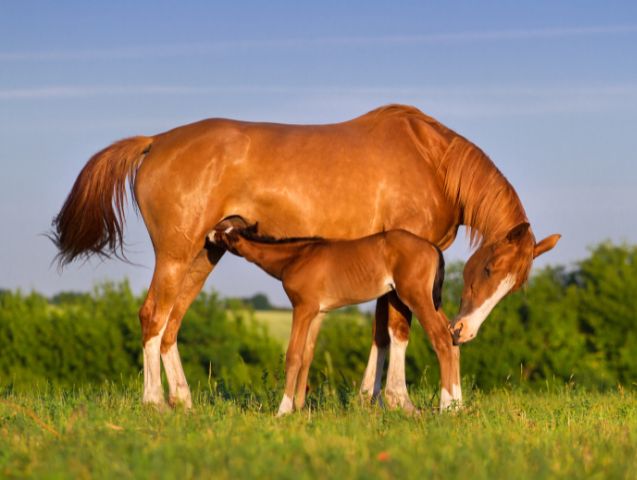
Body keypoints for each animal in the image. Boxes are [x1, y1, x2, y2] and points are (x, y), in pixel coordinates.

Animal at [209, 221, 442, 416]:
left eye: (224, 235)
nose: (208, 234)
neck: (296, 257)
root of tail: (432, 248)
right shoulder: (318, 313)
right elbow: (307, 356)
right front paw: (299, 406)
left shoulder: (302, 309)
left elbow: (293, 355)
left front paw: (284, 409)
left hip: (416, 297)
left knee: (441, 337)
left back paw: (446, 406)